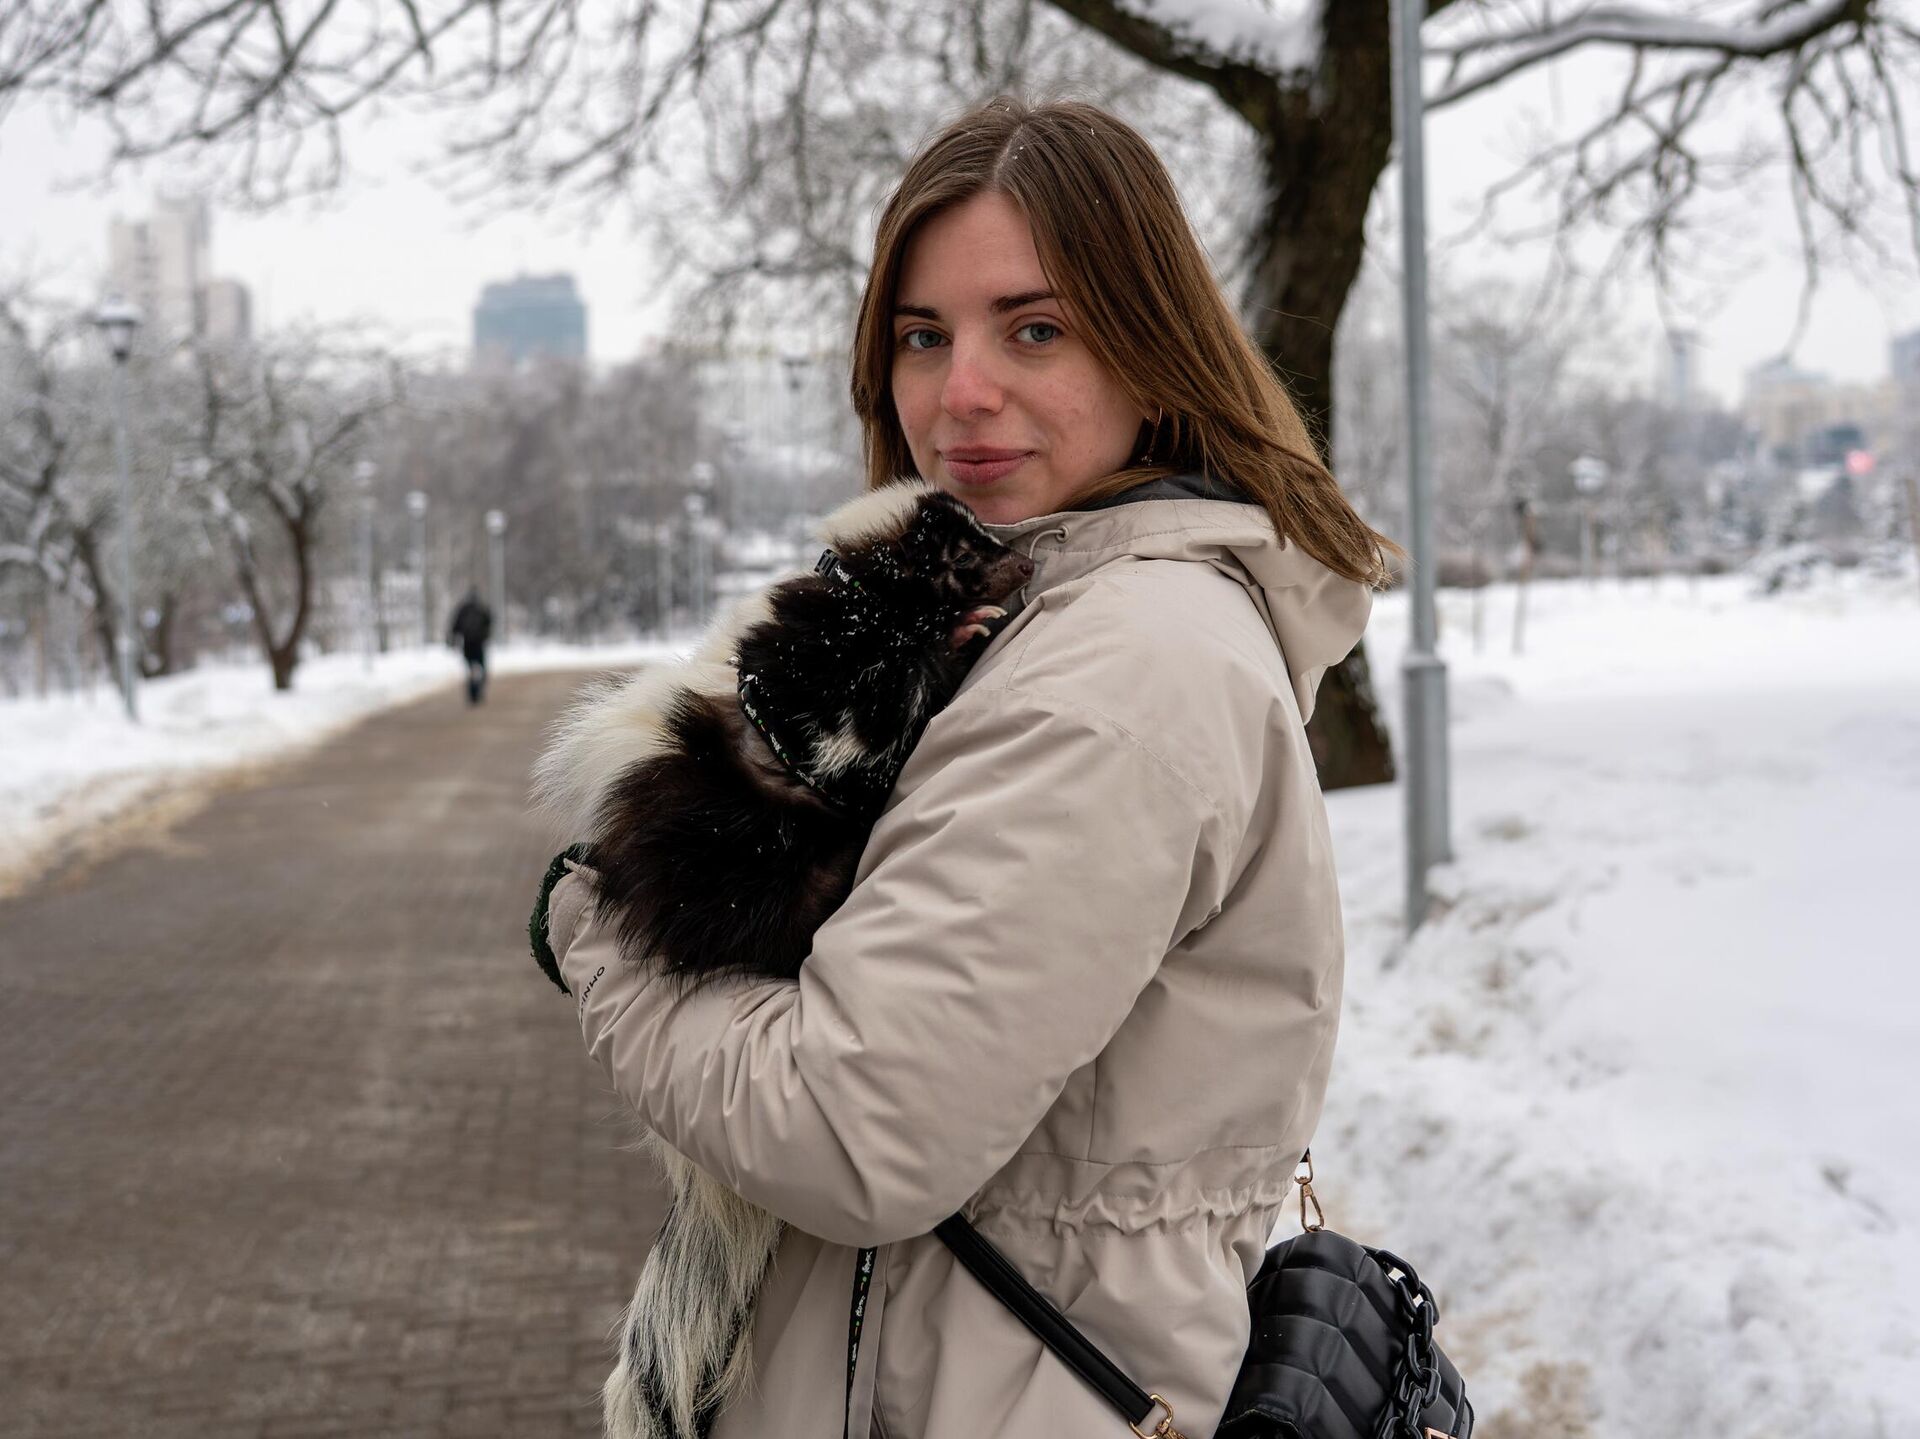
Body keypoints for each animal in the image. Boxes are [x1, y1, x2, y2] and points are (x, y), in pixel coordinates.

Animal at [531, 479, 1033, 1439]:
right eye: (962, 550)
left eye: (986, 534)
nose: (1024, 562)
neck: (863, 601)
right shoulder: (805, 675)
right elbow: (869, 710)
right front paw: (961, 637)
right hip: (719, 830)